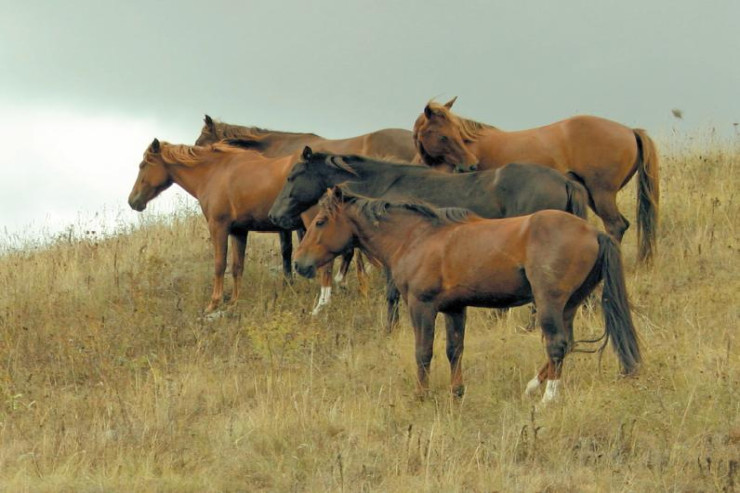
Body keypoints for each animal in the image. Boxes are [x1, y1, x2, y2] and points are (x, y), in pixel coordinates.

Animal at [129, 137, 302, 312]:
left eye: (143, 165)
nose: (132, 201)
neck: (214, 173)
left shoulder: (218, 226)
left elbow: (220, 264)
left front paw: (214, 302)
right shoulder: (239, 231)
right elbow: (237, 267)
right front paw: (234, 301)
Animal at [268, 146, 588, 330]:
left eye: (292, 176)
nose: (274, 215)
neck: (383, 186)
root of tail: (564, 181)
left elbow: (391, 294)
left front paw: (391, 329)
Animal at [292, 186, 640, 402]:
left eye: (320, 221)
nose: (299, 263)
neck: (416, 237)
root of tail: (593, 232)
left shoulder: (421, 306)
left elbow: (423, 352)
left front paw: (421, 395)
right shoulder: (455, 309)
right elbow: (454, 350)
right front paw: (456, 393)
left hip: (549, 304)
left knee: (557, 345)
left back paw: (548, 398)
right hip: (569, 305)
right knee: (566, 344)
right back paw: (532, 387)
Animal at [414, 97, 660, 264]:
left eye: (456, 132)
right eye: (443, 135)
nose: (470, 165)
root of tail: (630, 131)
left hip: (602, 195)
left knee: (616, 225)